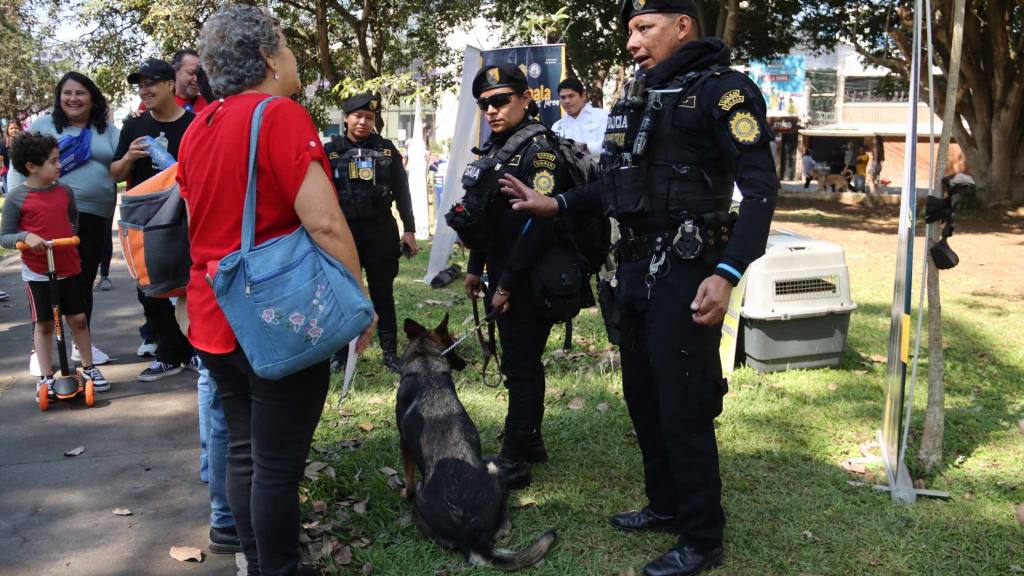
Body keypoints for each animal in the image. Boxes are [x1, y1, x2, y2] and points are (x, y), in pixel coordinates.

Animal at [395, 313, 557, 569]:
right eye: (452, 344)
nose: (463, 364)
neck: (426, 361)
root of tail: (470, 533)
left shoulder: (405, 444)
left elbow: (408, 477)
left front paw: (403, 492)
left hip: (426, 496)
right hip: (494, 472)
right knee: (504, 528)